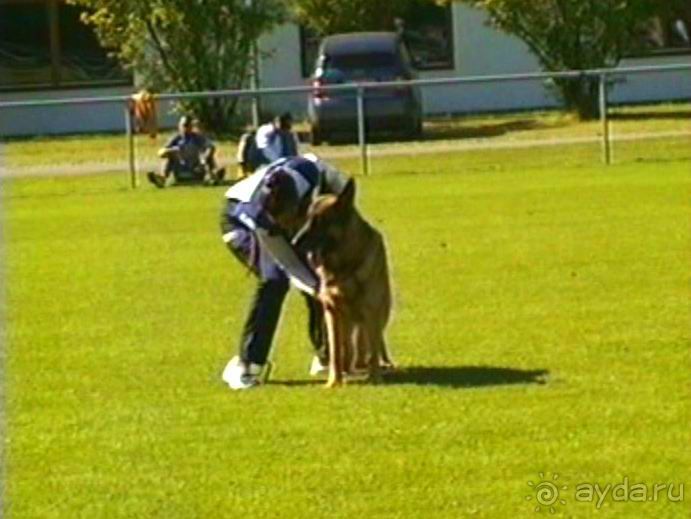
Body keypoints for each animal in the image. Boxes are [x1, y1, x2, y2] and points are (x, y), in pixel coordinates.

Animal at [296, 179, 394, 386]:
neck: (345, 266)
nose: (294, 243)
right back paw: (348, 369)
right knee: (347, 348)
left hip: (377, 316)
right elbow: (335, 353)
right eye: (307, 219)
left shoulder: (371, 313)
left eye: (319, 221)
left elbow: (373, 351)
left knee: (371, 345)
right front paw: (334, 382)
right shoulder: (332, 313)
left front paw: (375, 379)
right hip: (345, 323)